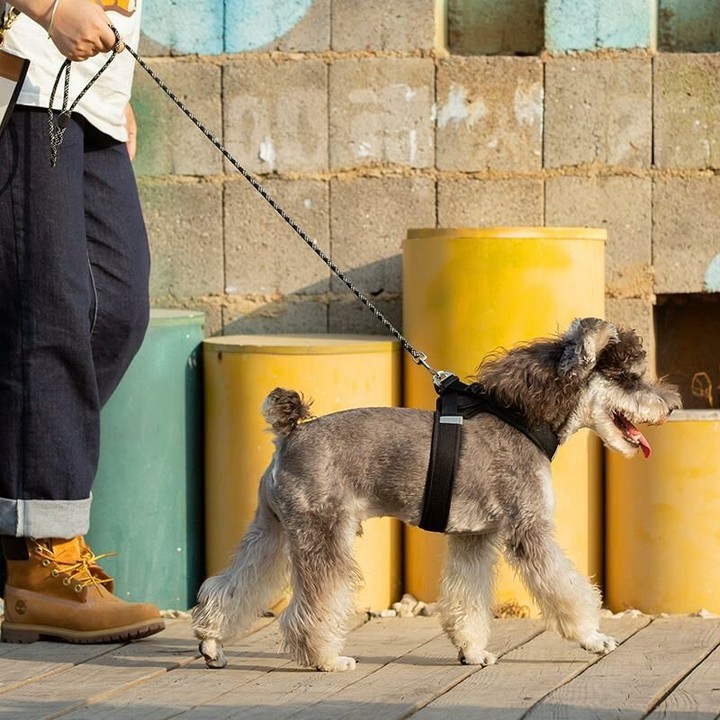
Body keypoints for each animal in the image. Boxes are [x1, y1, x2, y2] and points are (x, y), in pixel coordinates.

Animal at [190, 318, 680, 672]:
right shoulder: (531, 531)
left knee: (232, 585)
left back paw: (213, 643)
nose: (671, 406)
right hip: (323, 537)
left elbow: (468, 601)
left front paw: (473, 651)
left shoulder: (473, 538)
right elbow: (566, 590)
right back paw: (326, 659)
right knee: (309, 611)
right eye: (628, 377)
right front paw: (593, 638)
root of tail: (288, 435)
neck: (525, 418)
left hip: (272, 532)